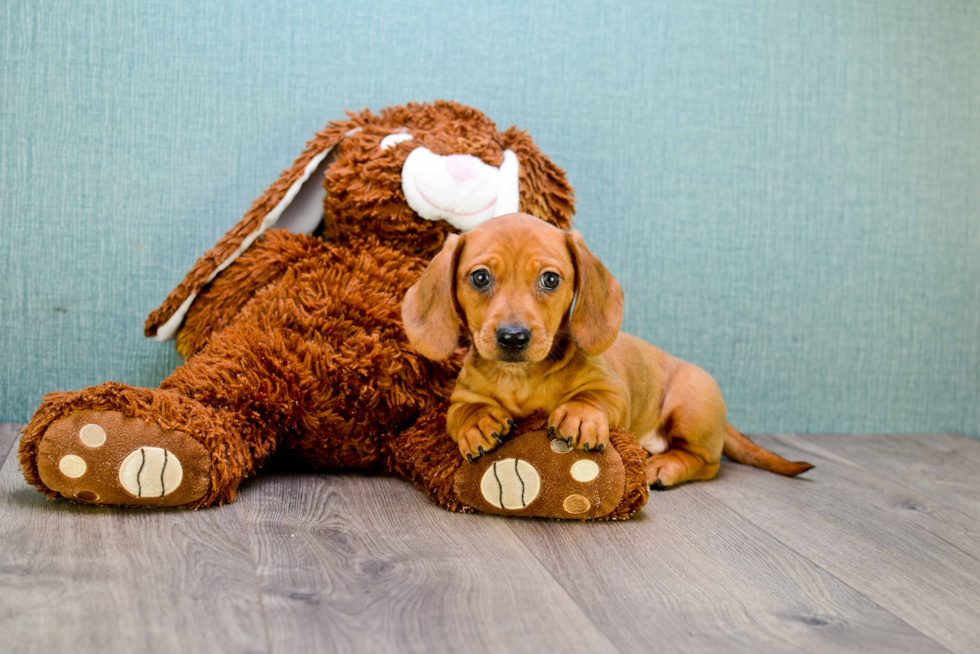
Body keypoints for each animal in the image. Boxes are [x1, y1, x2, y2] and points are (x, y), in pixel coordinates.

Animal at [400, 213, 812, 490]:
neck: (521, 377)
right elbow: (464, 412)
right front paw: (479, 423)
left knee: (706, 462)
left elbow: (592, 397)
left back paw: (663, 467)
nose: (513, 338)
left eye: (550, 279)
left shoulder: (613, 390)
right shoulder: (461, 398)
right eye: (480, 277)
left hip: (691, 405)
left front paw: (579, 415)